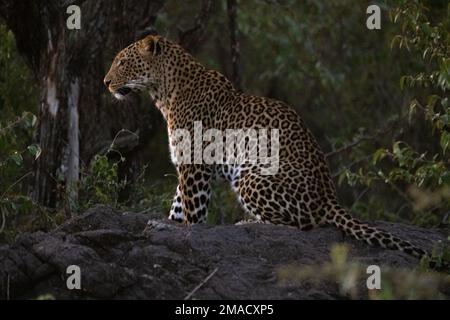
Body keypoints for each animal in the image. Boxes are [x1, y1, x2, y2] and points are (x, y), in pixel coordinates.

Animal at [103, 34, 434, 264]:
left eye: (122, 62)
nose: (105, 82)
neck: (164, 92)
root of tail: (329, 197)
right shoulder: (191, 164)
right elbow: (177, 203)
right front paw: (168, 223)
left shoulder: (195, 164)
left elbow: (192, 209)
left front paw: (183, 230)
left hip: (250, 176)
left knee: (300, 224)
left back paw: (247, 222)